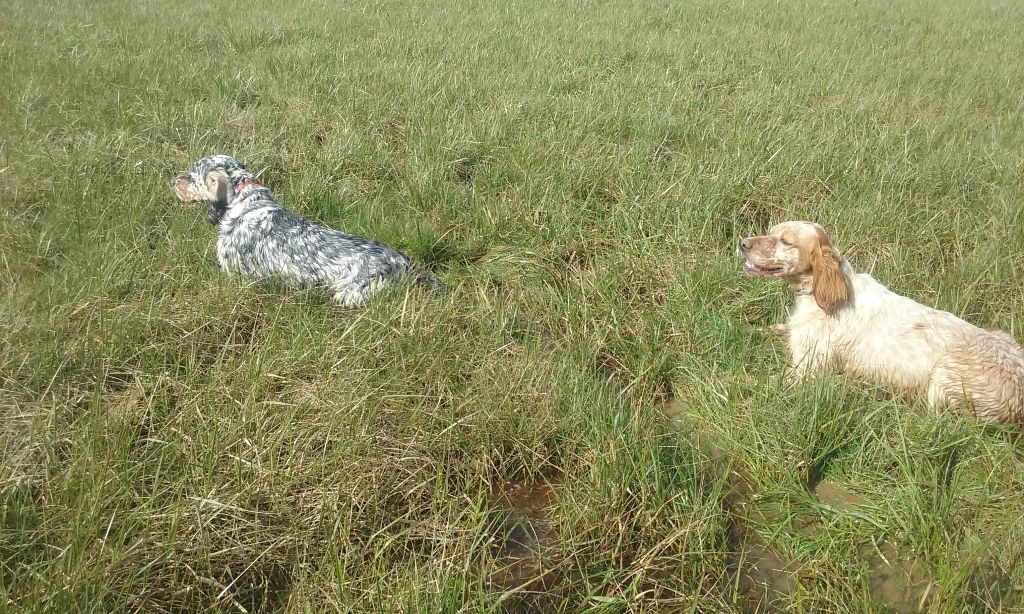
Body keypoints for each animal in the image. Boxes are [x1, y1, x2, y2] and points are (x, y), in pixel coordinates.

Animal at [173, 154, 444, 304]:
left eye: (191, 175)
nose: (173, 181)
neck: (246, 201)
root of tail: (403, 261)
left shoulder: (235, 275)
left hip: (351, 293)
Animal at [745, 221, 1024, 427]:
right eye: (771, 231)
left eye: (785, 241)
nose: (742, 244)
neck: (821, 294)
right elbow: (767, 329)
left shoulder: (808, 371)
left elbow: (756, 381)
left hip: (944, 374)